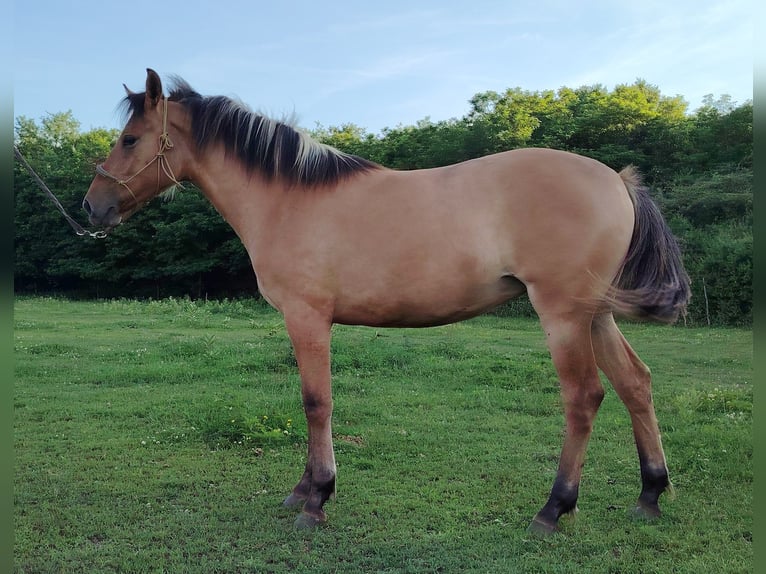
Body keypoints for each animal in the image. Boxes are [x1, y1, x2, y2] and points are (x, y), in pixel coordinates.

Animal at [82, 71, 688, 536]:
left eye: (130, 139)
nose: (92, 207)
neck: (287, 199)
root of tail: (617, 180)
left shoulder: (307, 318)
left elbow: (316, 402)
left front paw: (316, 499)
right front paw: (303, 489)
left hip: (563, 314)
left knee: (584, 397)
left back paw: (553, 510)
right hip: (595, 314)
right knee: (635, 384)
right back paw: (650, 495)